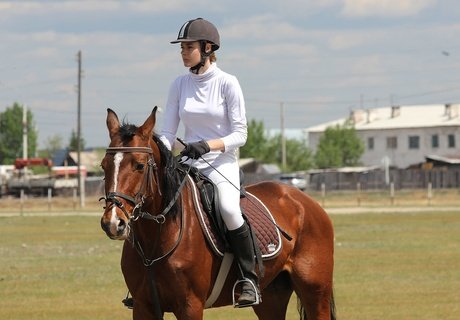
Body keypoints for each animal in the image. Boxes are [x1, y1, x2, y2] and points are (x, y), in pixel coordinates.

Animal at [99, 108, 334, 320]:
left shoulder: (190, 306)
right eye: (104, 165)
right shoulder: (143, 306)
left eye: (139, 165)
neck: (156, 241)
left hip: (315, 293)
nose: (113, 223)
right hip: (271, 295)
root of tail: (304, 200)